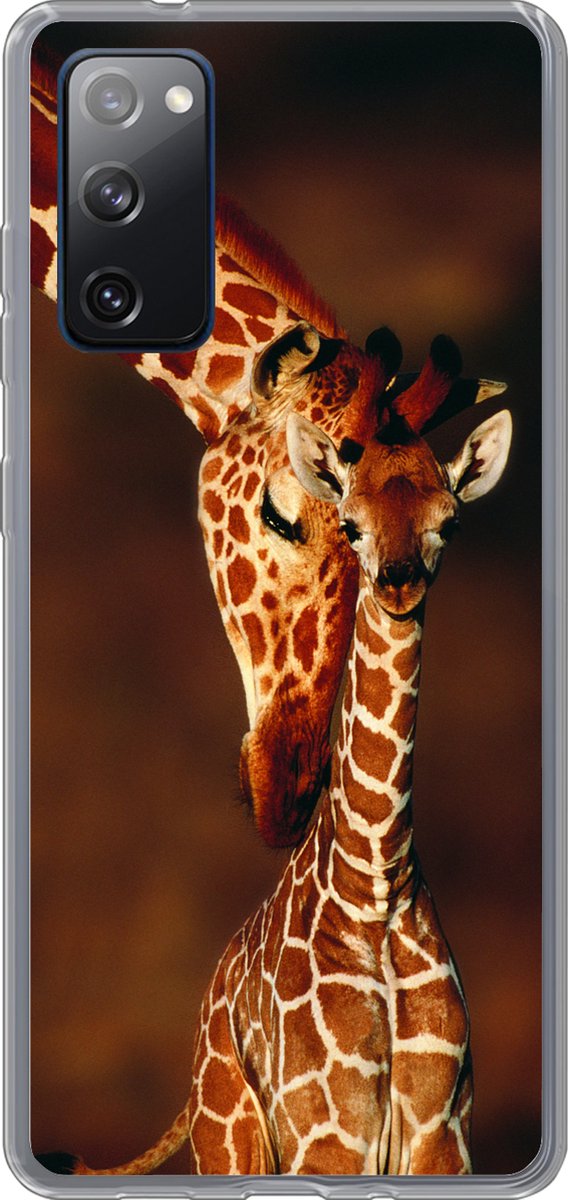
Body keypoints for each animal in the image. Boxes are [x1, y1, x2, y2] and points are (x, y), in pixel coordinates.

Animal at [41, 352, 512, 1177]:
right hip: (231, 1138)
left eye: (448, 521)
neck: (376, 886)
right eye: (351, 522)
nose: (398, 581)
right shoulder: (329, 1134)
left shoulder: (443, 1134)